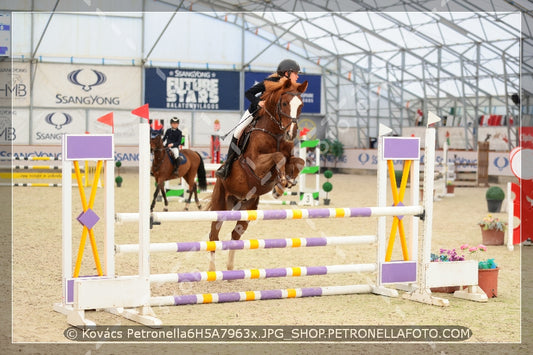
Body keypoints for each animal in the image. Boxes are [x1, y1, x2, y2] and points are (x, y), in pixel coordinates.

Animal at [207, 78, 308, 272]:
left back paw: (230, 269)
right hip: (220, 204)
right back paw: (212, 271)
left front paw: (283, 185)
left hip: (248, 207)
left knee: (235, 234)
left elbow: (298, 162)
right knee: (213, 235)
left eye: (301, 105)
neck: (275, 133)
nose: (291, 133)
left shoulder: (290, 158)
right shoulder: (255, 165)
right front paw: (281, 184)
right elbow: (278, 157)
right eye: (284, 103)